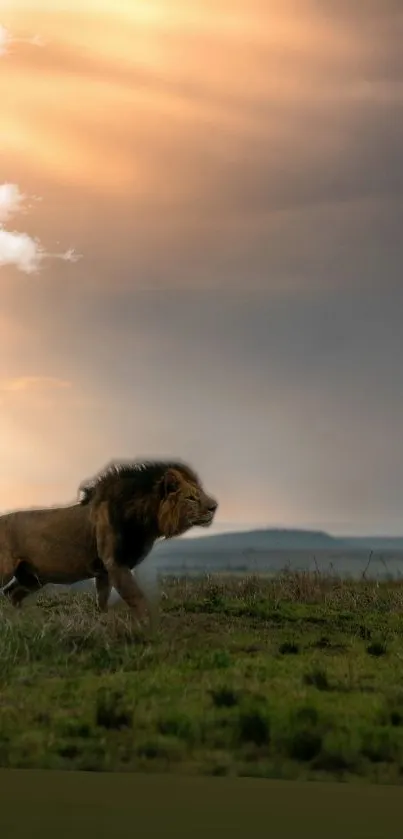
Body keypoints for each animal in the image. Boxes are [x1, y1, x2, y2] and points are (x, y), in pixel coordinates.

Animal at [0, 460, 218, 624]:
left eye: (201, 494)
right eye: (191, 498)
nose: (214, 507)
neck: (144, 519)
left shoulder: (104, 571)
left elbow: (102, 600)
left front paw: (103, 622)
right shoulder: (115, 563)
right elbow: (137, 598)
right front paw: (151, 628)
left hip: (32, 577)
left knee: (11, 594)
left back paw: (20, 622)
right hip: (8, 570)